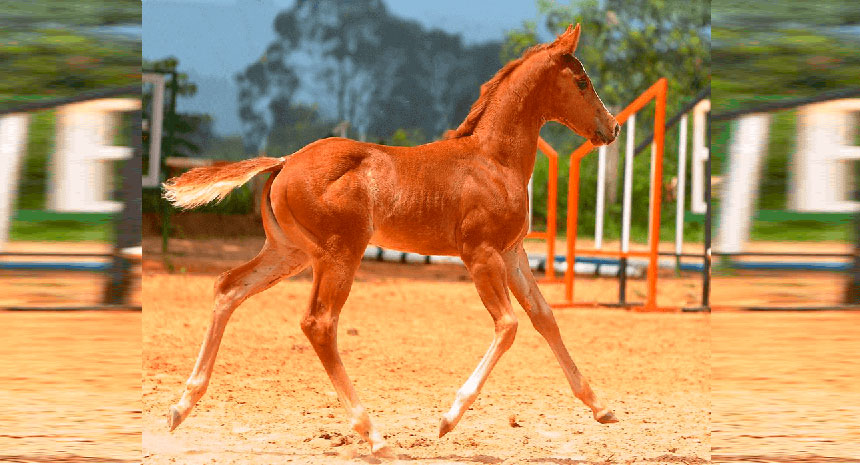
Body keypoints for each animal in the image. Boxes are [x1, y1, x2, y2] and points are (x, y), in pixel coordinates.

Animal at [163, 24, 620, 454]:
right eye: (581, 82)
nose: (612, 127)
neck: (493, 160)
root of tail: (284, 161)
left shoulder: (513, 253)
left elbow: (545, 317)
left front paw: (601, 408)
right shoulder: (480, 254)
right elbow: (508, 325)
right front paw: (448, 419)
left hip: (289, 253)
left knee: (228, 288)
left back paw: (181, 406)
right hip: (340, 253)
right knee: (319, 323)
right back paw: (373, 434)